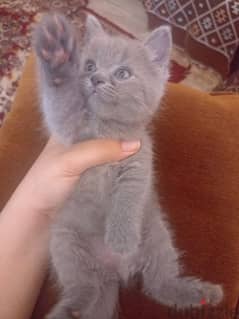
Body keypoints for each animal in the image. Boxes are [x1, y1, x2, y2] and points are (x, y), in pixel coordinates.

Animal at [32, 13, 223, 319]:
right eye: (89, 65)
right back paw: (69, 310)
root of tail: (115, 272)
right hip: (65, 245)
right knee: (84, 289)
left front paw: (121, 240)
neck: (108, 129)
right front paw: (57, 56)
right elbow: (61, 105)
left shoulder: (138, 162)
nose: (95, 78)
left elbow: (128, 197)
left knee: (159, 284)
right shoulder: (70, 132)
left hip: (158, 236)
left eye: (123, 74)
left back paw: (201, 294)